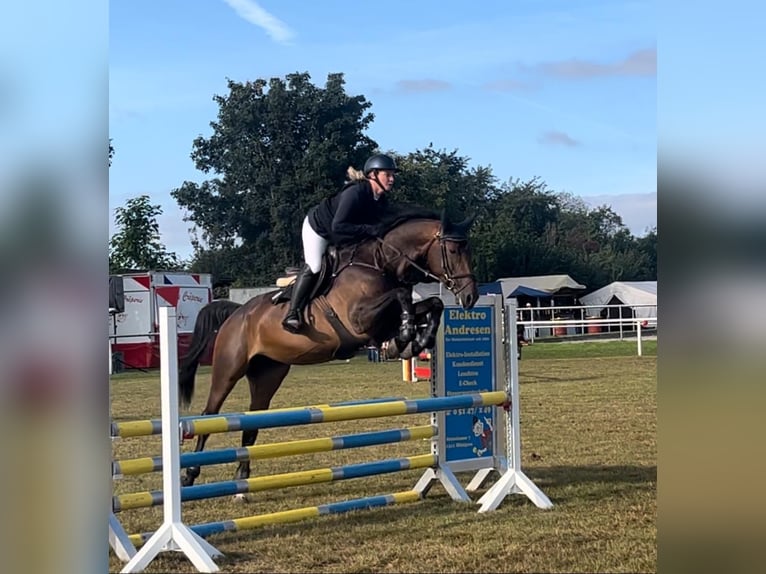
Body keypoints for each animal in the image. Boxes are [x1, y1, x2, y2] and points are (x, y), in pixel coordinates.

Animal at [180, 209, 480, 488]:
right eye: (454, 250)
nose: (470, 297)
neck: (379, 264)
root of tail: (236, 313)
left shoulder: (382, 324)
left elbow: (432, 304)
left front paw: (414, 341)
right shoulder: (360, 321)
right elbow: (402, 296)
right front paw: (407, 335)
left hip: (268, 373)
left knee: (253, 420)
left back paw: (242, 479)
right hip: (228, 368)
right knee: (209, 415)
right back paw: (190, 474)